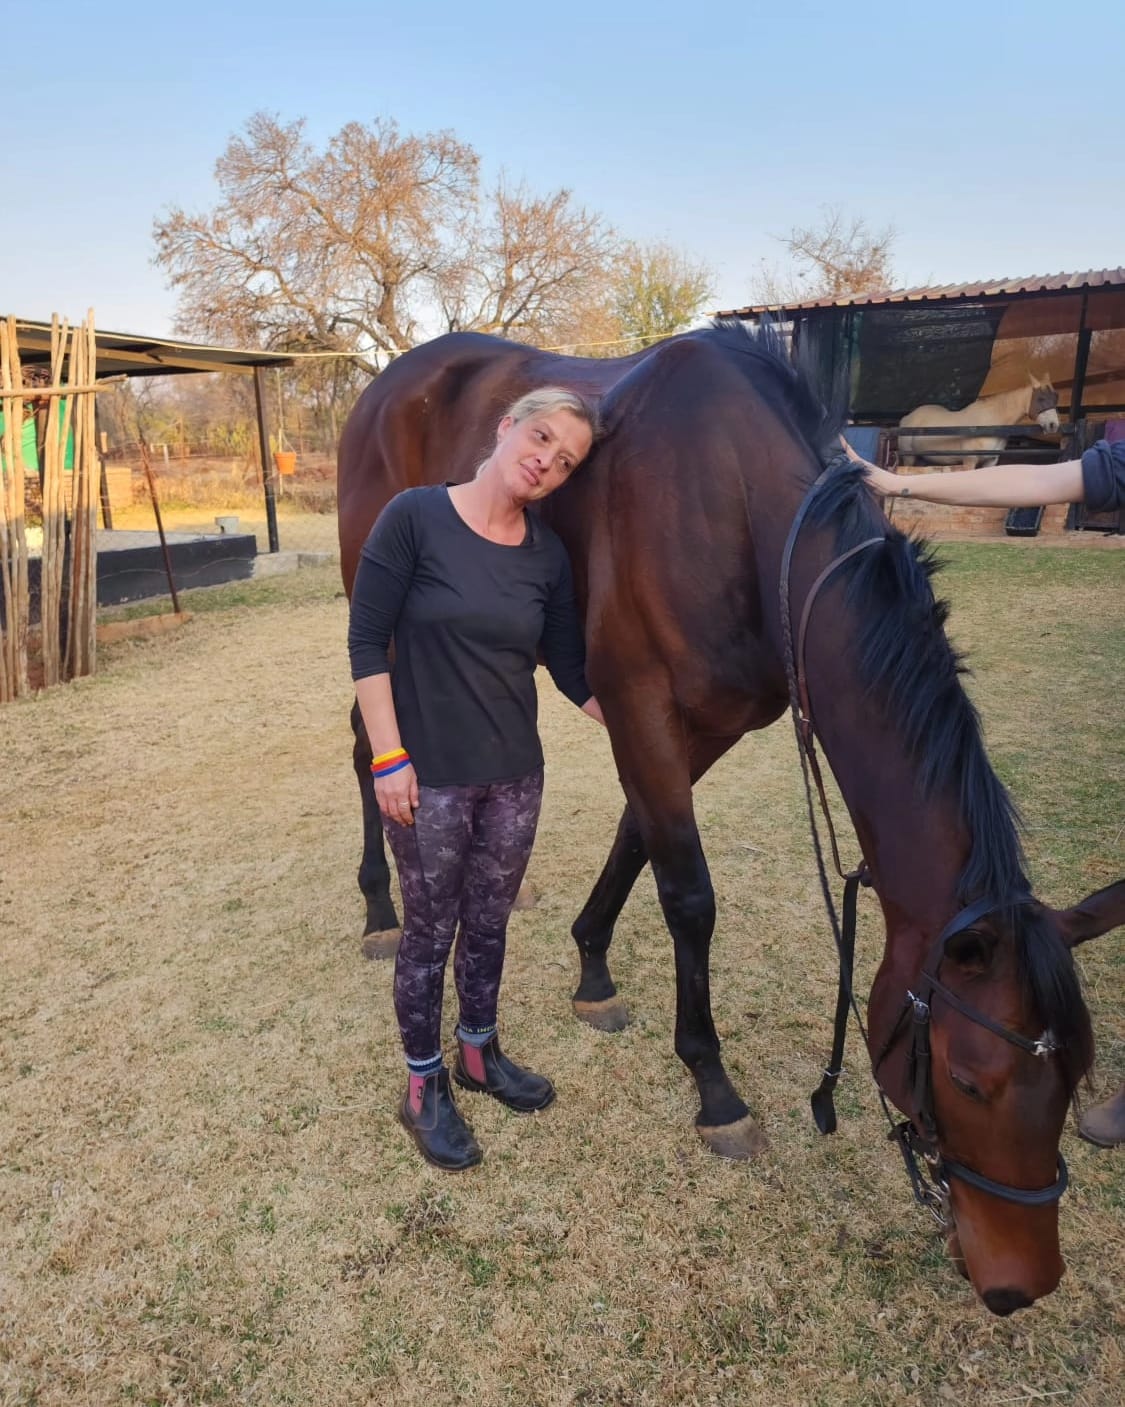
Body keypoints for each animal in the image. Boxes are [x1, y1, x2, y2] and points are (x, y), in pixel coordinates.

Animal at [897, 374, 1060, 467]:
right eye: (1040, 398)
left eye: (1055, 398)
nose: (1053, 425)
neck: (990, 423)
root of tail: (907, 418)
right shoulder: (970, 460)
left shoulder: (991, 461)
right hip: (909, 457)